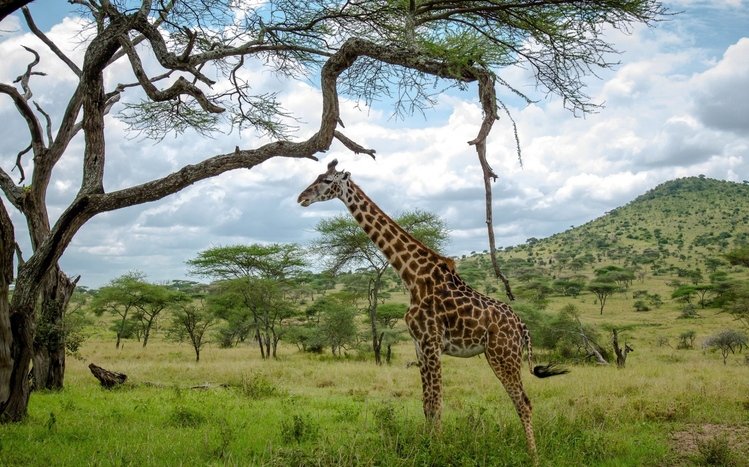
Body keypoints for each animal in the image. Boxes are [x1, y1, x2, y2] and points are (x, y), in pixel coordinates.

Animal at [297, 159, 567, 461]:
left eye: (326, 180)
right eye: (318, 176)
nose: (301, 198)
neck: (413, 277)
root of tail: (522, 326)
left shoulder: (432, 343)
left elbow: (437, 403)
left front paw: (438, 449)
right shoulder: (420, 345)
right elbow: (426, 404)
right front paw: (426, 445)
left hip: (502, 355)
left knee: (524, 402)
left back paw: (533, 455)